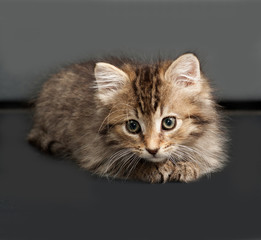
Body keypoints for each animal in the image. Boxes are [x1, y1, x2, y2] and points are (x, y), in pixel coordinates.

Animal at [26, 53, 225, 183]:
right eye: (132, 126)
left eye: (169, 123)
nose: (152, 150)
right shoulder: (95, 154)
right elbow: (125, 164)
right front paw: (150, 168)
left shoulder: (210, 146)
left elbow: (202, 157)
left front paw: (187, 165)